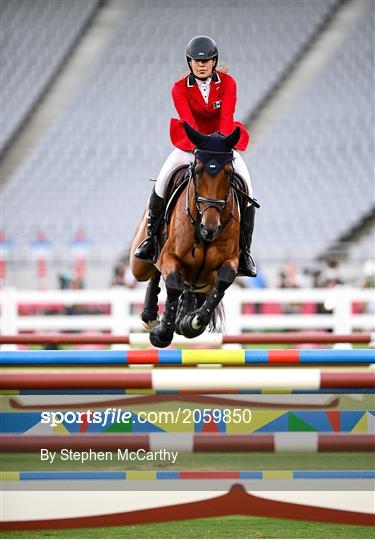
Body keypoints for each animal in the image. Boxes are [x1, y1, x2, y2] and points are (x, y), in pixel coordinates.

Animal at [131, 123, 242, 348]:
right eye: (198, 171)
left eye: (228, 173)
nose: (210, 228)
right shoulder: (169, 256)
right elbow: (173, 283)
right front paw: (162, 333)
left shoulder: (228, 261)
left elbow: (223, 280)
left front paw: (194, 321)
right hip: (139, 264)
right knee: (153, 271)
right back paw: (150, 314)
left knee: (190, 288)